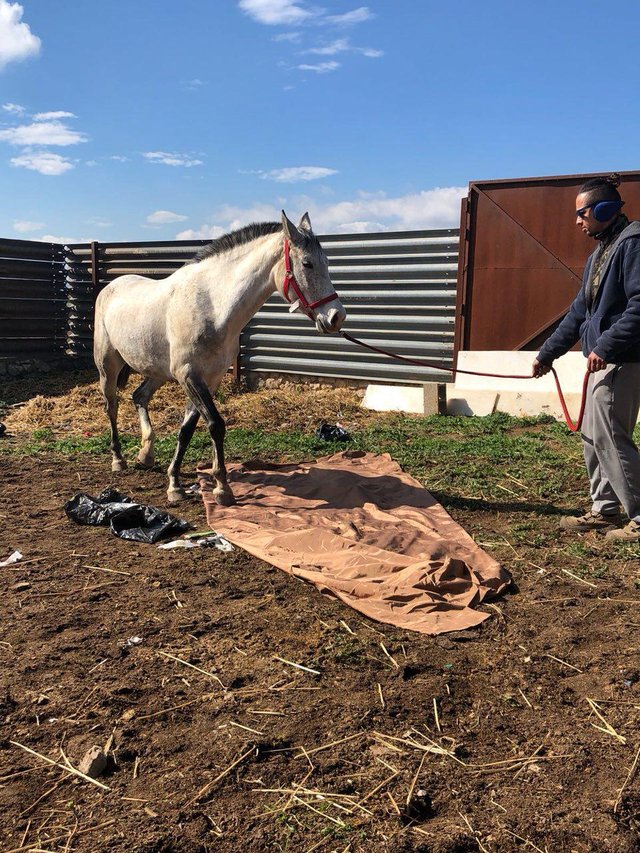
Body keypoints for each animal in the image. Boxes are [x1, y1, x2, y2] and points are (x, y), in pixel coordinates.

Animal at [92, 213, 348, 506]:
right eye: (307, 263)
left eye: (326, 262)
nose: (336, 317)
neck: (211, 306)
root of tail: (110, 287)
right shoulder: (189, 376)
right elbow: (215, 425)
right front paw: (221, 488)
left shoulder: (209, 379)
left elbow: (187, 430)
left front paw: (176, 483)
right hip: (108, 367)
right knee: (111, 406)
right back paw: (118, 459)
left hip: (157, 372)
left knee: (139, 396)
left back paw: (146, 454)